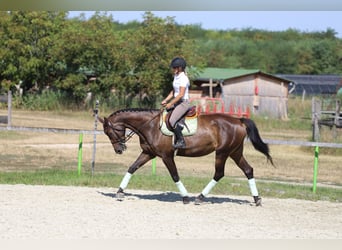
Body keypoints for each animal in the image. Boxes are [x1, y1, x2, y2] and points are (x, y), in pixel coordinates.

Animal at [97, 107, 274, 205]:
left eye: (109, 132)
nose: (119, 150)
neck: (150, 125)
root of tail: (239, 121)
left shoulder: (167, 156)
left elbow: (175, 175)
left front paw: (185, 197)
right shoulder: (148, 153)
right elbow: (132, 168)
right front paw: (119, 192)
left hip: (222, 152)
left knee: (219, 173)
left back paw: (200, 198)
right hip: (235, 152)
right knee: (248, 170)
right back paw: (257, 199)